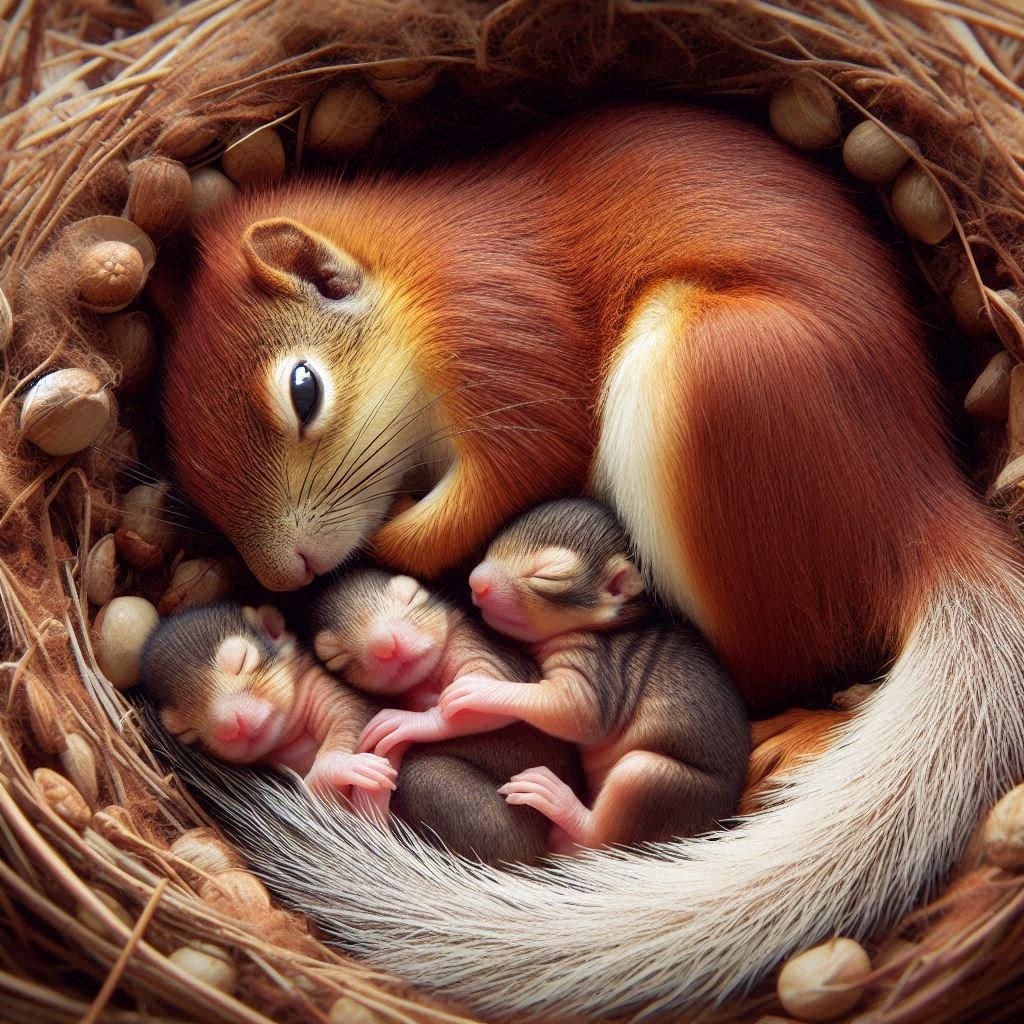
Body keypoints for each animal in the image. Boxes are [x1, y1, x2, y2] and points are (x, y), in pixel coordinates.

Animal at [159, 104, 1024, 1018]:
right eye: (184, 449)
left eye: (303, 389)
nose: (285, 573)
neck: (421, 272)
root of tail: (920, 507)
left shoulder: (508, 338)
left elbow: (505, 479)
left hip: (709, 372)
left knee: (772, 662)